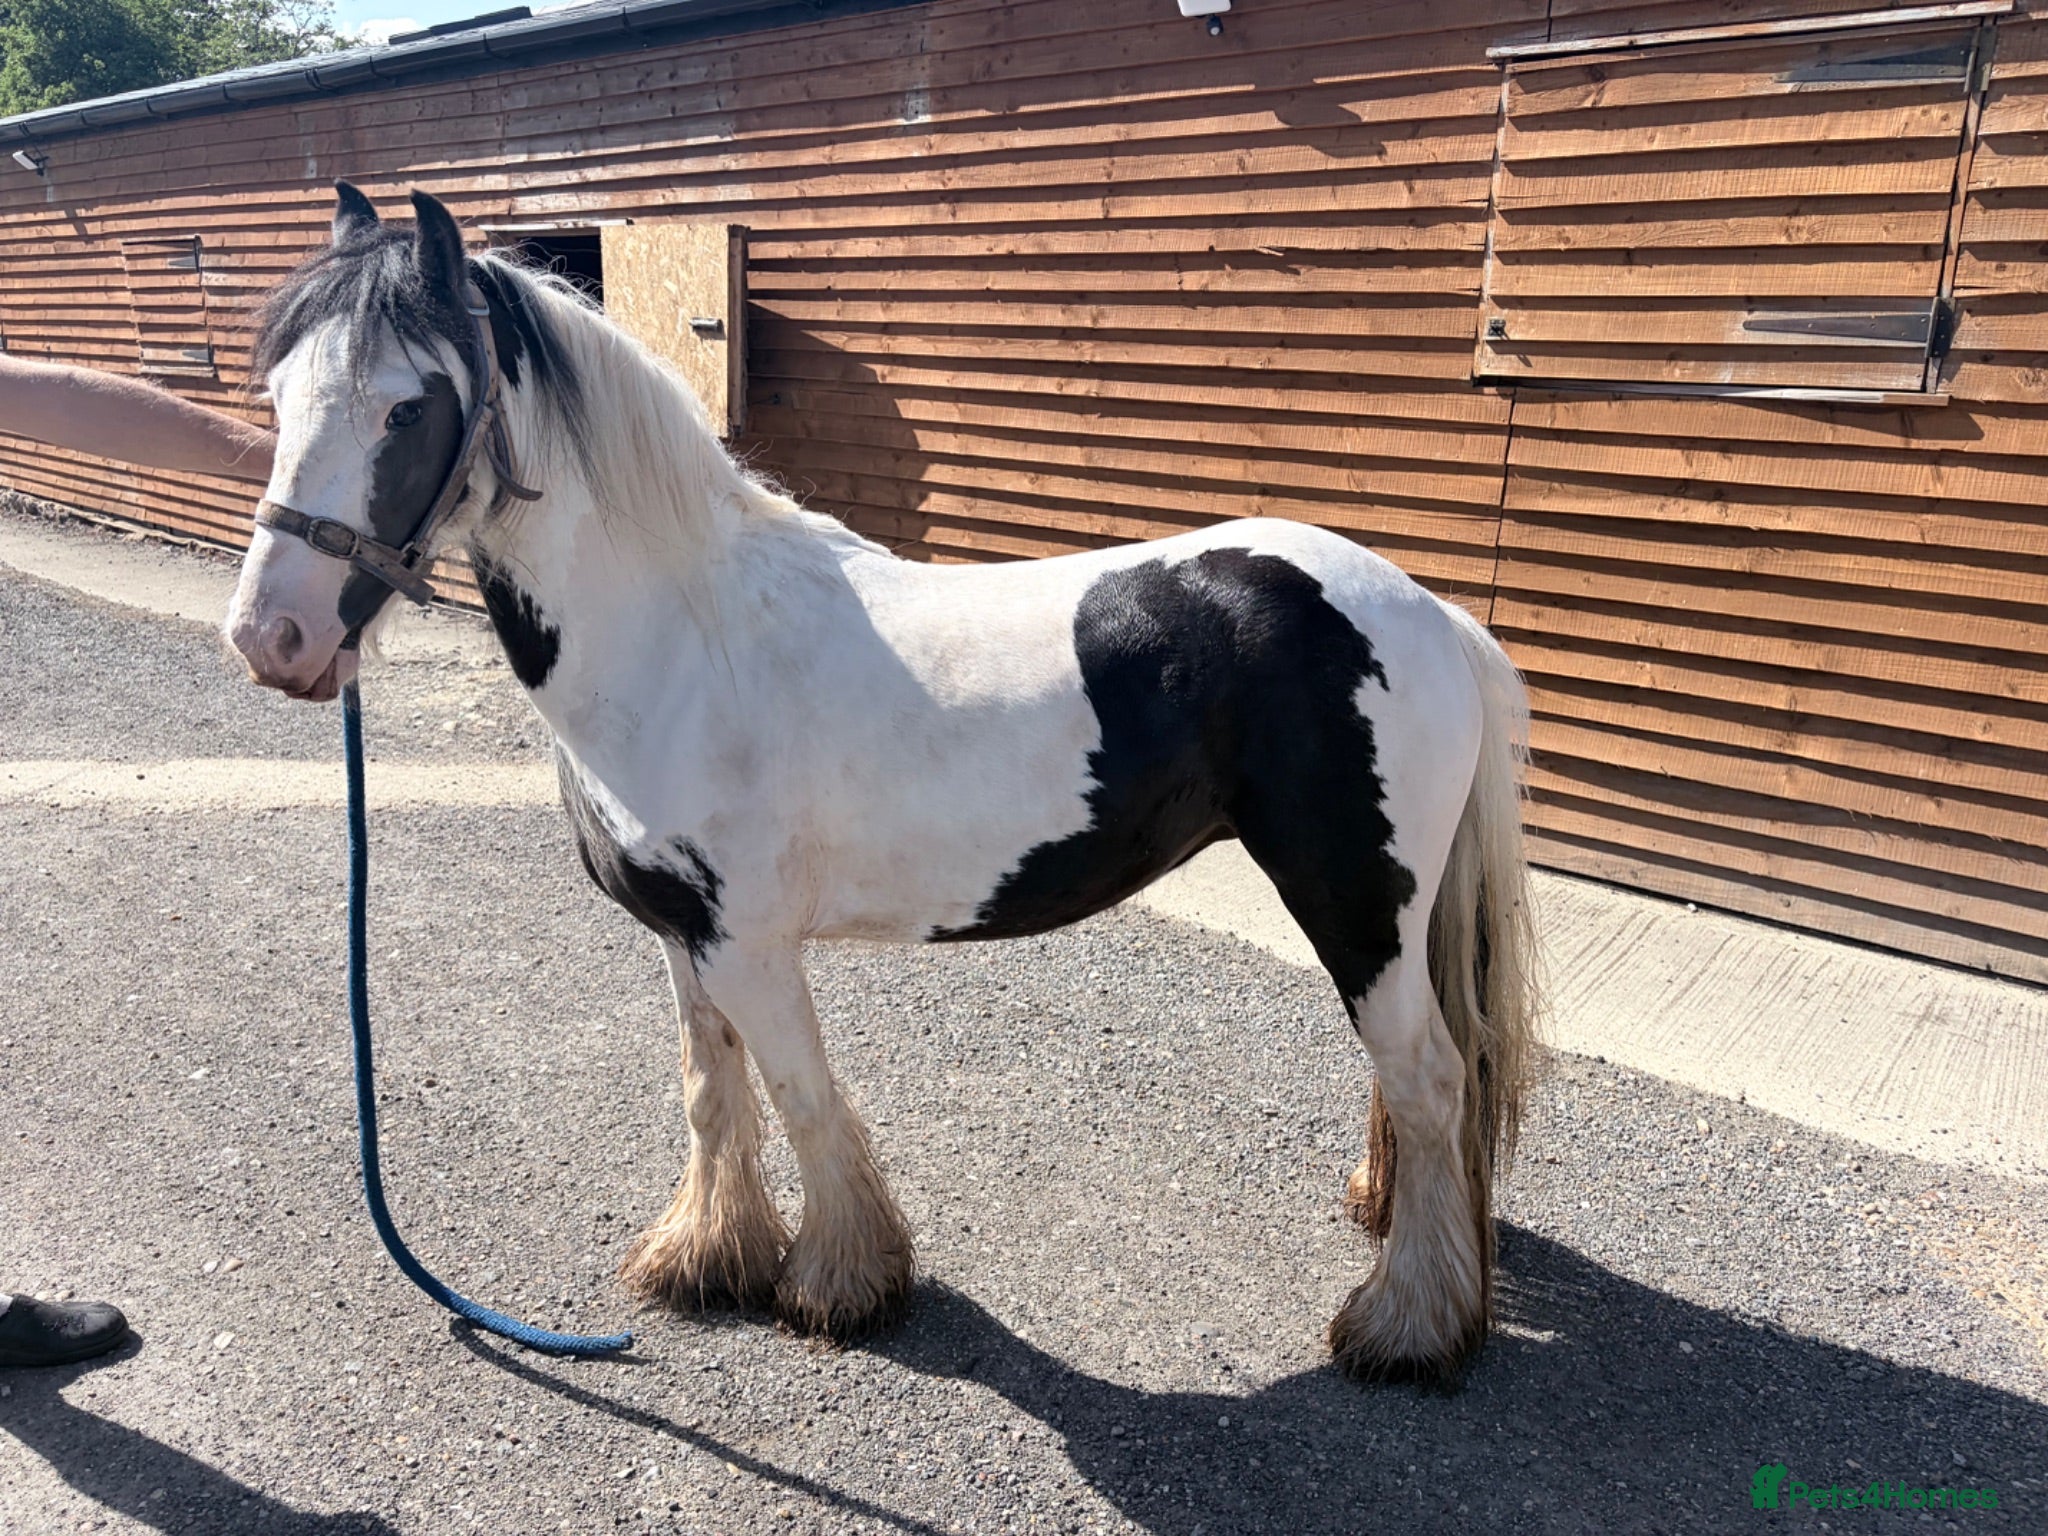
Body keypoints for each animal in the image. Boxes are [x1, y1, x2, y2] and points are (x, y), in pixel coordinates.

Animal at [225, 183, 1540, 1383]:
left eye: (407, 405)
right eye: (277, 396)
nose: (272, 637)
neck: (681, 634)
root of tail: (1426, 612)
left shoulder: (748, 945)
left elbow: (803, 1096)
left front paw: (842, 1286)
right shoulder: (684, 937)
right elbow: (712, 1089)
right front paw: (707, 1259)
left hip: (1351, 900)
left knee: (1427, 1076)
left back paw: (1405, 1328)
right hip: (1386, 914)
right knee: (1424, 1076)